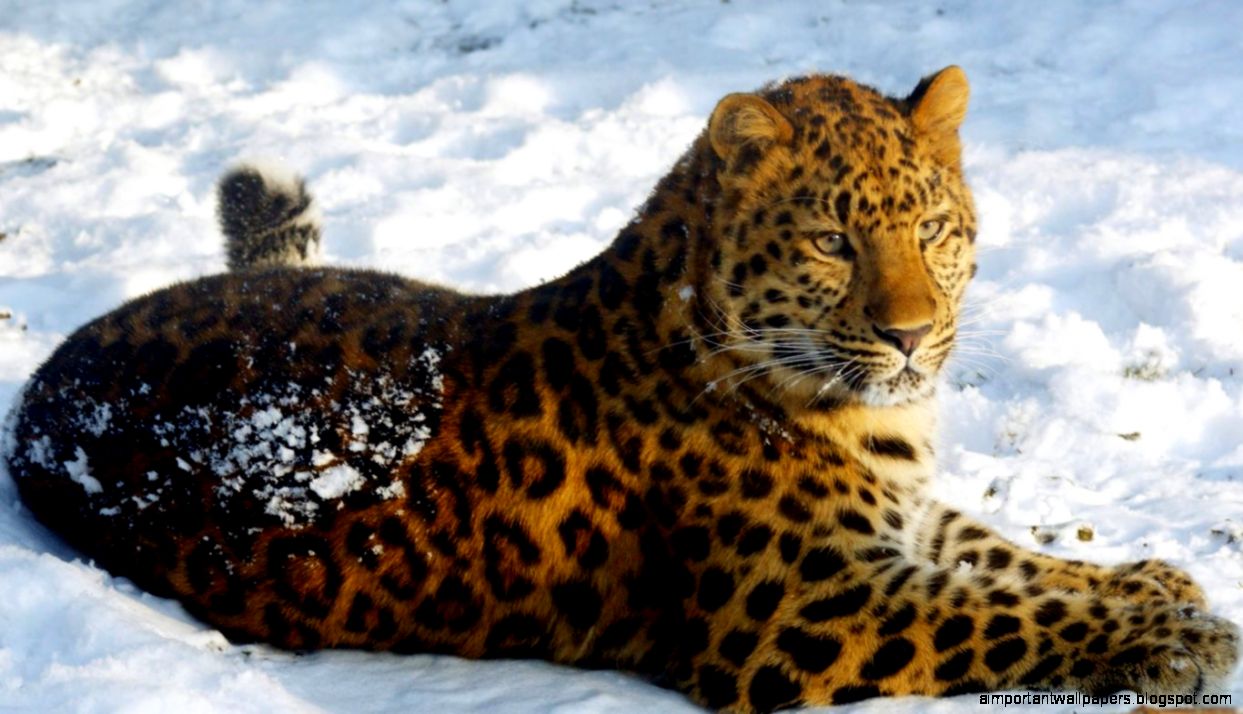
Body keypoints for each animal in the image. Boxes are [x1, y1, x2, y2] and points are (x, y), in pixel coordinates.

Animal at [3, 67, 1238, 712]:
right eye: (833, 241)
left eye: (933, 229)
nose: (911, 337)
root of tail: (48, 384)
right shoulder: (807, 615)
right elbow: (1003, 613)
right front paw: (1177, 639)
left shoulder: (894, 524)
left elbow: (1002, 556)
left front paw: (1158, 585)